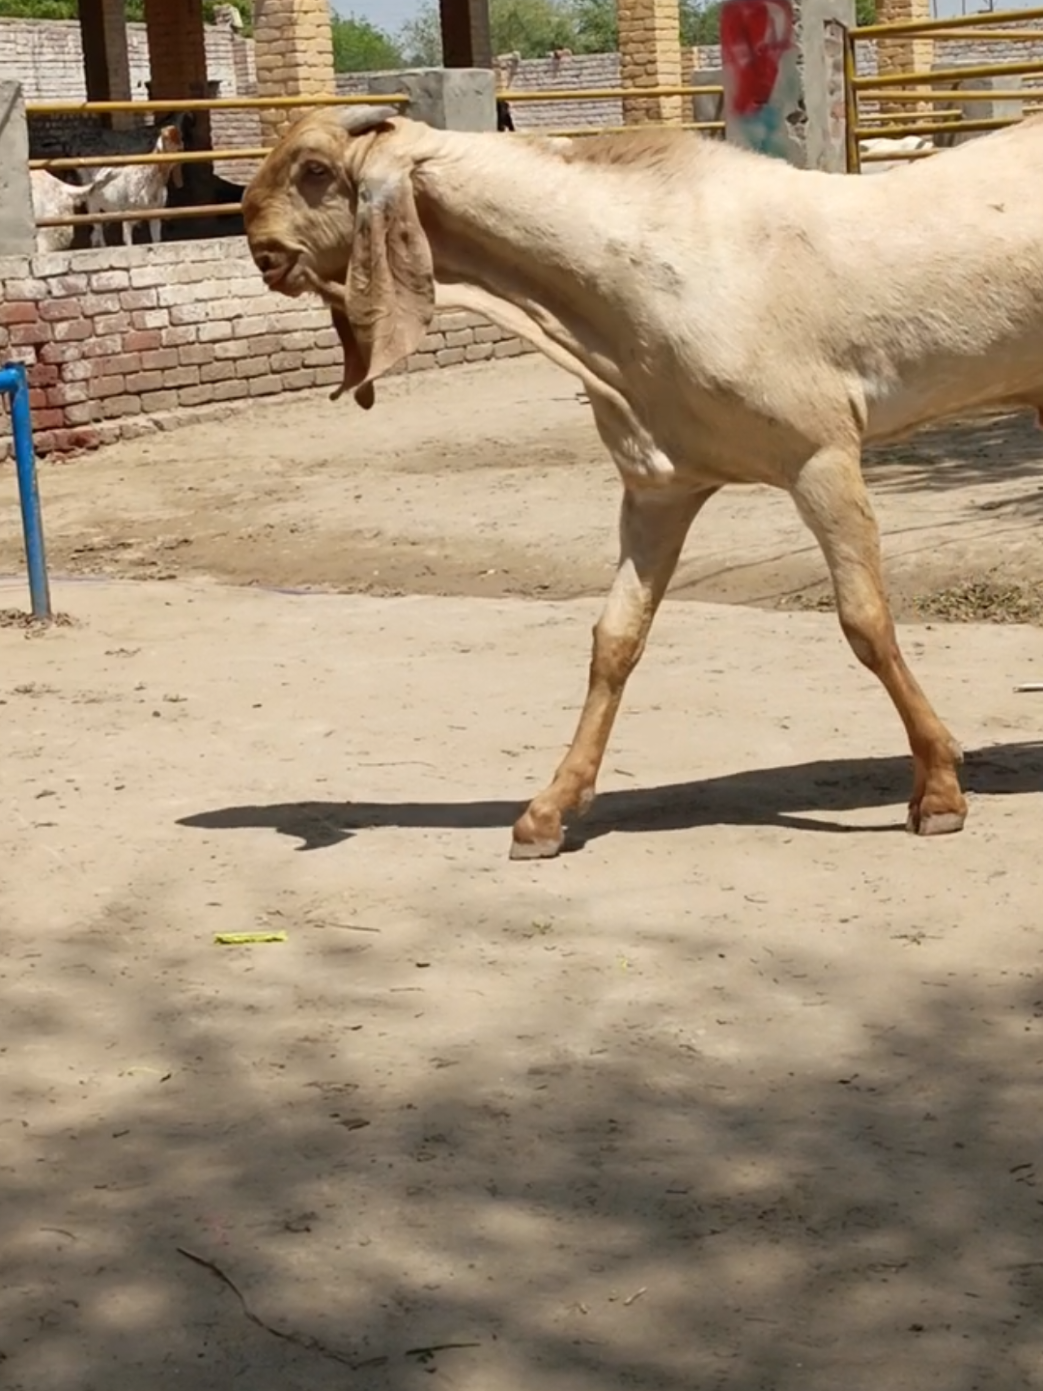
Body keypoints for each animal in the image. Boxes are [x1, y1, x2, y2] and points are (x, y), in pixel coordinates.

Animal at [242, 106, 1043, 859]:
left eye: (315, 169)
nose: (260, 248)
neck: (645, 269)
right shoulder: (659, 488)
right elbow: (615, 640)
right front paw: (546, 811)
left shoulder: (821, 456)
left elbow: (865, 622)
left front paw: (938, 788)